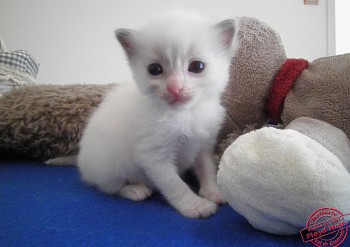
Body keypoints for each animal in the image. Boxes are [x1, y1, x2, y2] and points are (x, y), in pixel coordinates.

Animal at [78, 11, 237, 218]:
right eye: (154, 69)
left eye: (197, 67)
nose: (175, 88)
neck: (184, 115)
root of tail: (82, 164)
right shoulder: (153, 155)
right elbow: (175, 184)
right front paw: (195, 205)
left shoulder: (203, 144)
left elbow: (206, 168)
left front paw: (213, 191)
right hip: (109, 163)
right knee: (110, 187)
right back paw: (135, 190)